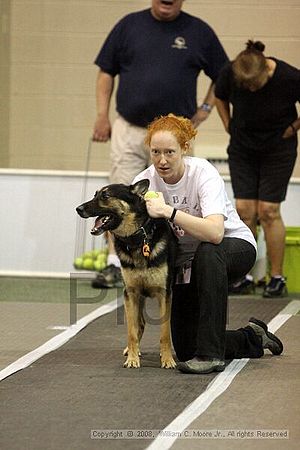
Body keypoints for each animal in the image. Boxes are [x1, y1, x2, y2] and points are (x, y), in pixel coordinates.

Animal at [76, 178, 177, 368]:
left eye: (105, 195)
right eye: (95, 194)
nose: (78, 209)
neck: (139, 239)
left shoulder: (164, 294)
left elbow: (165, 332)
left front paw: (168, 359)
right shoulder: (130, 293)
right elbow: (132, 330)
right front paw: (132, 358)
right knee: (139, 323)